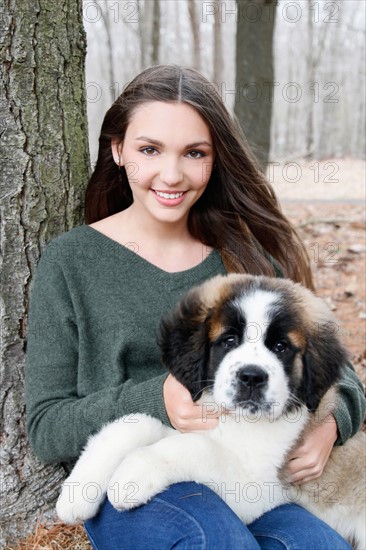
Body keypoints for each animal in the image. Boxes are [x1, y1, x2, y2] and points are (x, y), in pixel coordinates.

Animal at [57, 274, 366, 548]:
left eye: (281, 347)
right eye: (229, 340)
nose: (251, 377)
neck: (231, 419)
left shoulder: (253, 488)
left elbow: (195, 446)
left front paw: (131, 476)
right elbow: (133, 423)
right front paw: (78, 492)